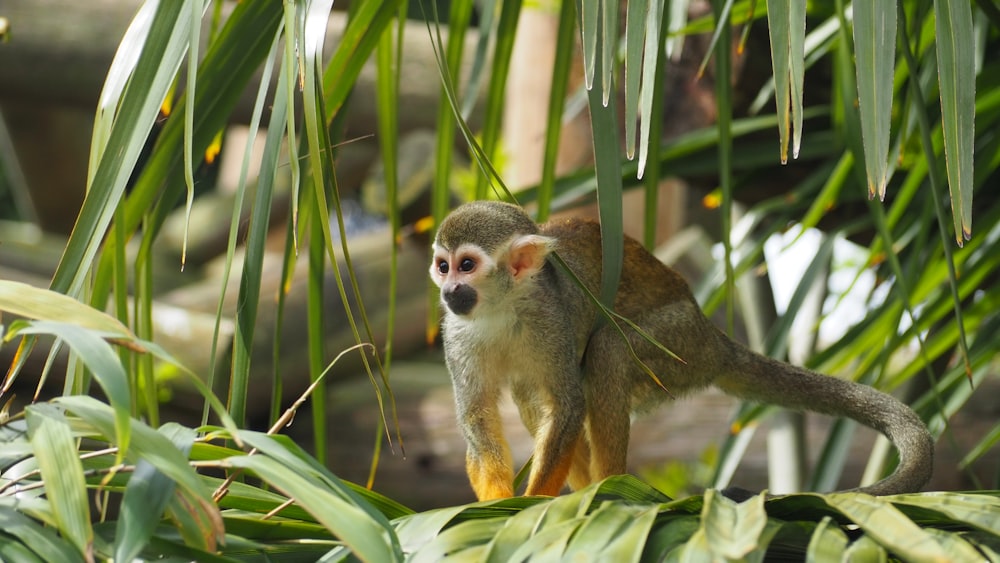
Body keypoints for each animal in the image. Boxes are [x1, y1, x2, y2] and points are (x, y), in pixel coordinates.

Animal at [432, 200, 936, 500]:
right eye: (442, 265)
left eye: (467, 265)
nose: (450, 290)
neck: (500, 309)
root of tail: (712, 336)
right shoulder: (455, 334)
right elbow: (478, 417)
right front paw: (495, 503)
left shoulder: (550, 319)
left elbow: (569, 404)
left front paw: (530, 503)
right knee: (532, 394)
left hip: (678, 346)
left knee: (609, 350)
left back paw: (610, 487)